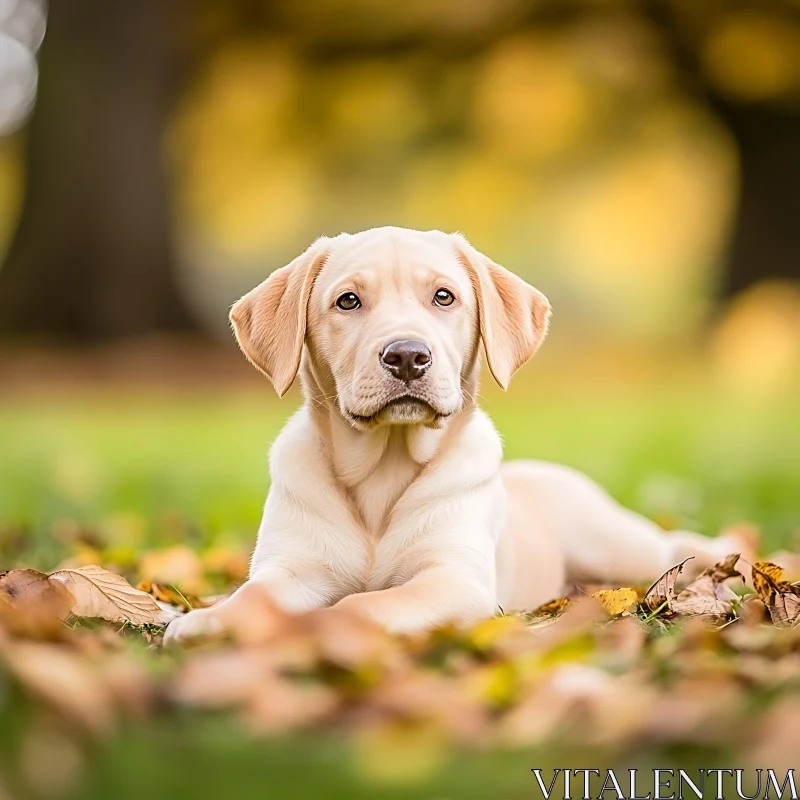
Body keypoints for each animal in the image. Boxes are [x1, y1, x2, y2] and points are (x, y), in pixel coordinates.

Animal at [162, 225, 736, 644]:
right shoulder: (291, 568)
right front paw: (209, 620)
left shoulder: (452, 580)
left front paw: (315, 628)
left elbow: (364, 605)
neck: (384, 469)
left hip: (614, 544)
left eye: (444, 297)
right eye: (347, 301)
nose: (407, 356)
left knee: (671, 545)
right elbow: (255, 595)